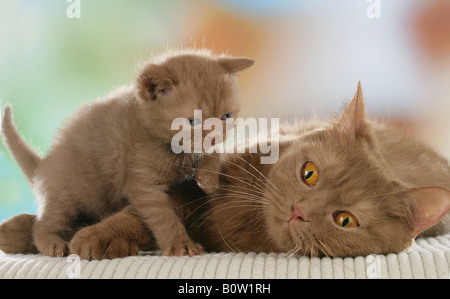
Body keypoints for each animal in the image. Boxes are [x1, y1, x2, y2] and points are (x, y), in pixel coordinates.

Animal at [0, 48, 253, 258]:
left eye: (226, 117)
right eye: (192, 121)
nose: (215, 135)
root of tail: (43, 165)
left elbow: (211, 153)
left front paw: (208, 178)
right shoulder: (143, 186)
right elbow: (164, 216)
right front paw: (180, 245)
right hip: (64, 196)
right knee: (42, 224)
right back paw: (52, 244)